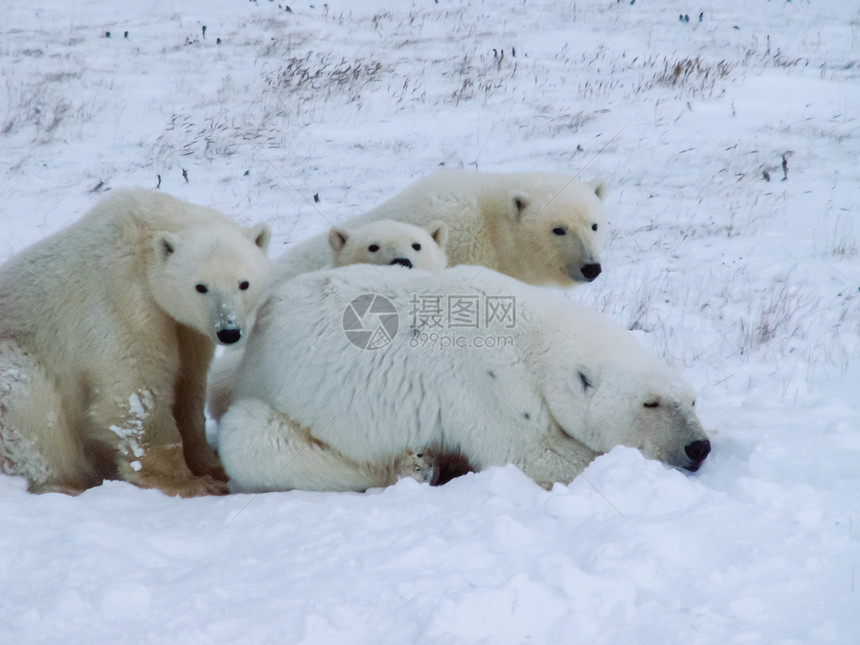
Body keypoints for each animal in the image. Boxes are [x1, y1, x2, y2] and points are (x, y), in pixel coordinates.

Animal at [0, 189, 270, 496]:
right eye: (201, 287)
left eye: (244, 283)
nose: (229, 332)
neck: (146, 228)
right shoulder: (121, 298)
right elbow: (137, 389)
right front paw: (192, 483)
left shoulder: (187, 329)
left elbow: (189, 384)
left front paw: (212, 465)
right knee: (28, 399)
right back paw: (66, 485)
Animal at [218, 264, 708, 490]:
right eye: (649, 403)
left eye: (692, 399)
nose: (698, 447)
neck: (528, 332)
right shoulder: (487, 383)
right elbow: (534, 454)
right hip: (268, 396)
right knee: (252, 437)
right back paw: (412, 466)